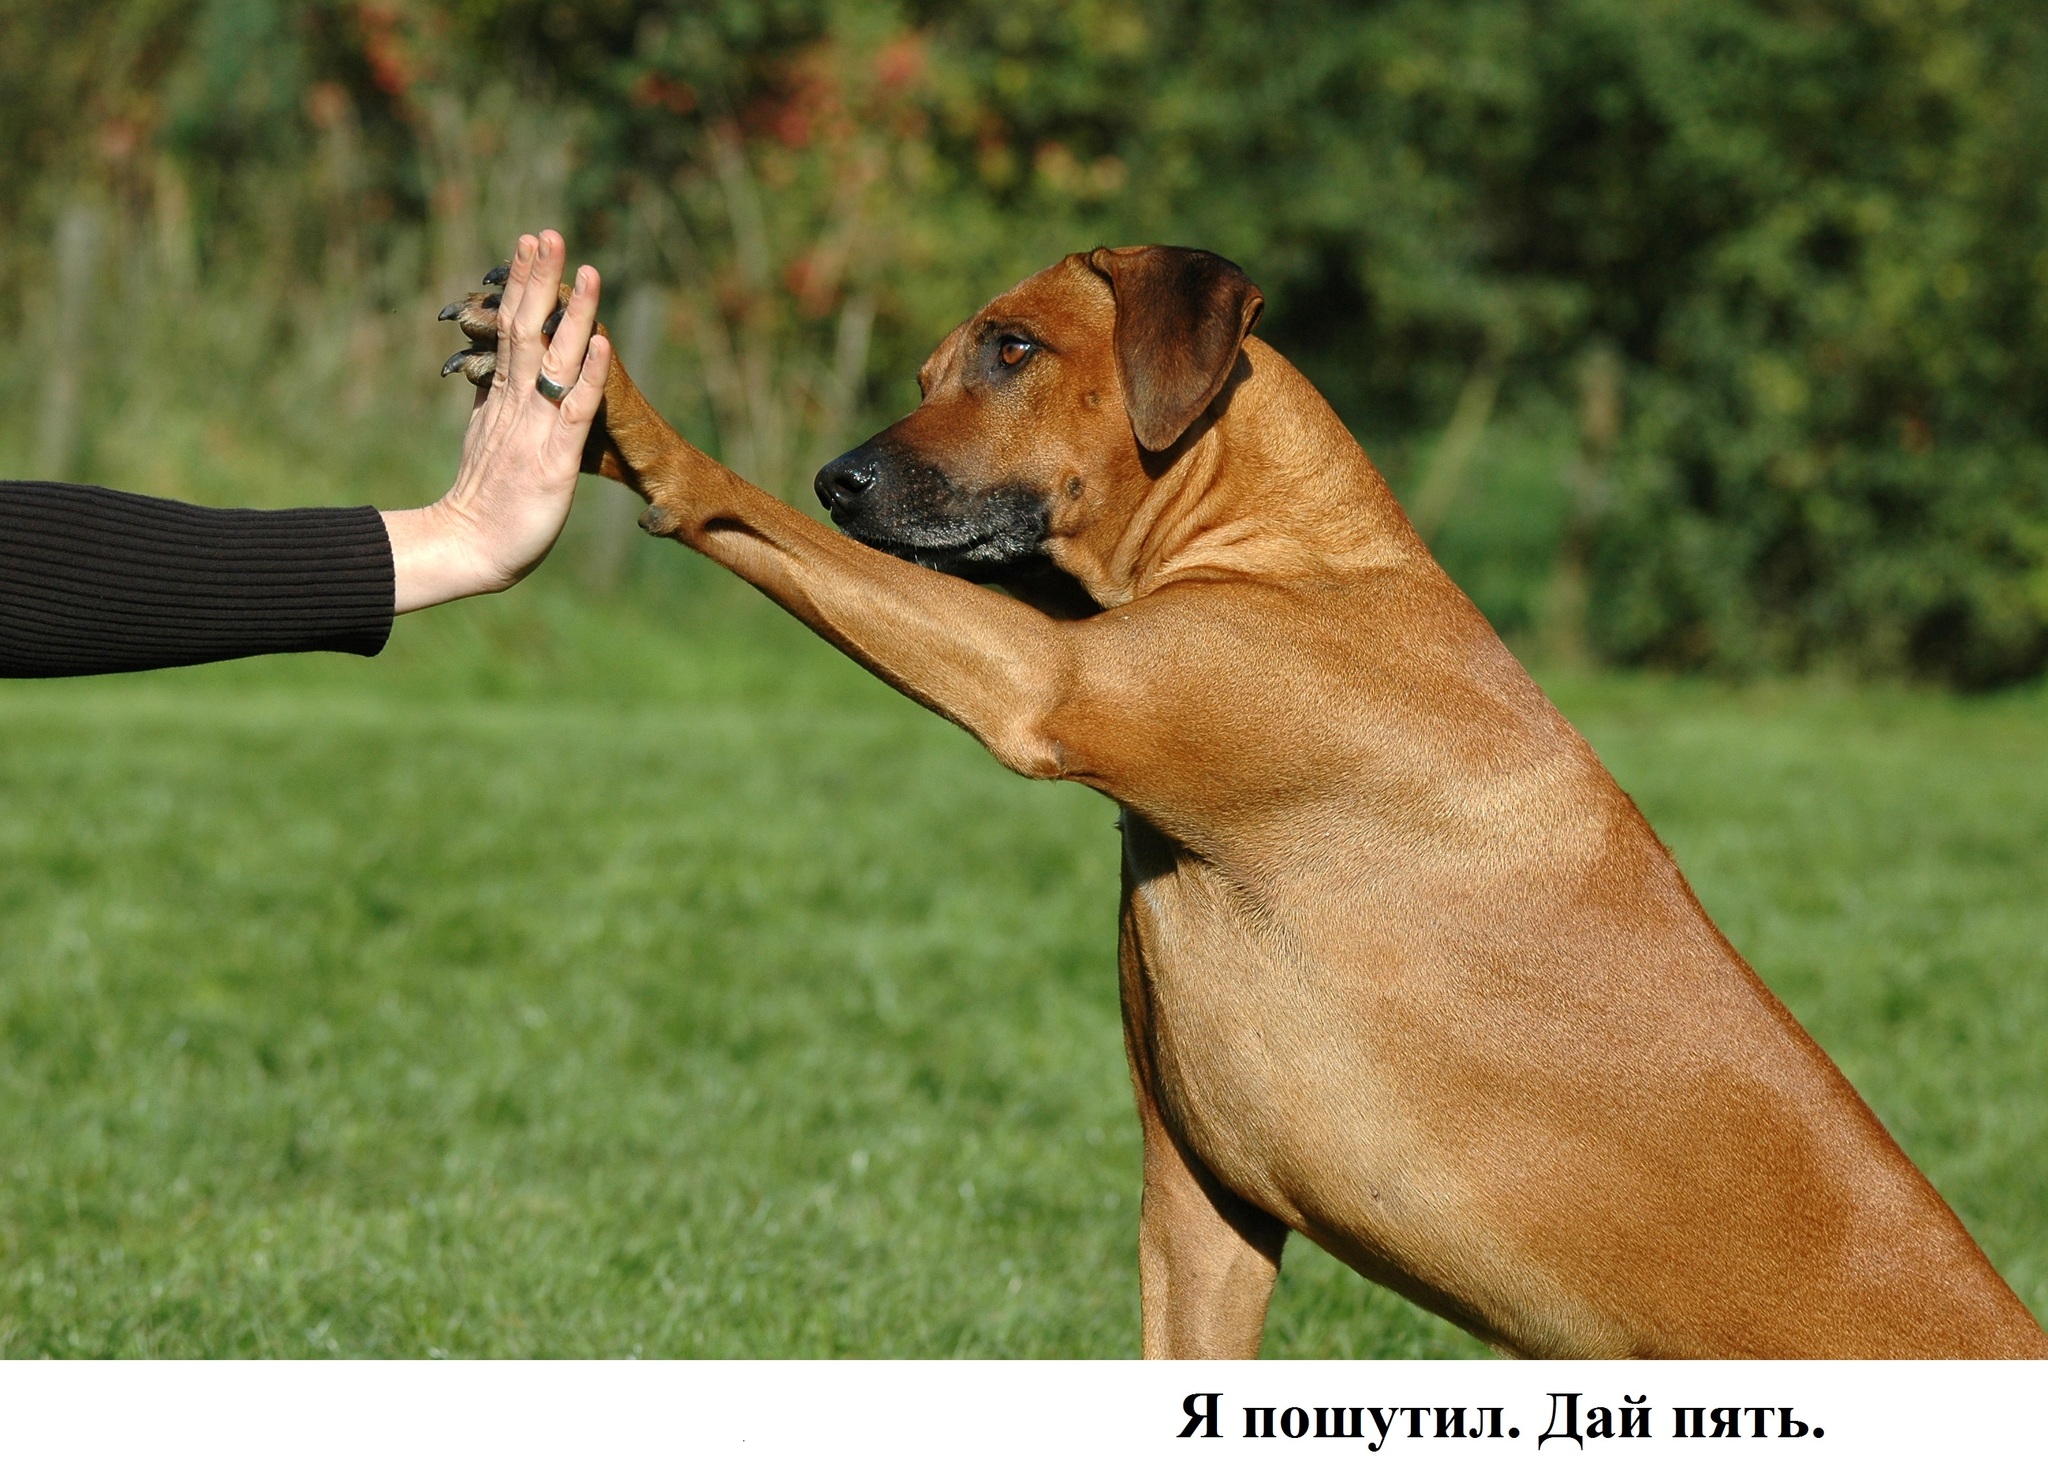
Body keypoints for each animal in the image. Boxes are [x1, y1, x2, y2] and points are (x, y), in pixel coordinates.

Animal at [448, 246, 2048, 1359]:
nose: (842, 476)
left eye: (1014, 349)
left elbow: (750, 516)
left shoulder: (1046, 684)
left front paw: (621, 419)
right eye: (925, 368)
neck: (1292, 553)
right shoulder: (1202, 1208)